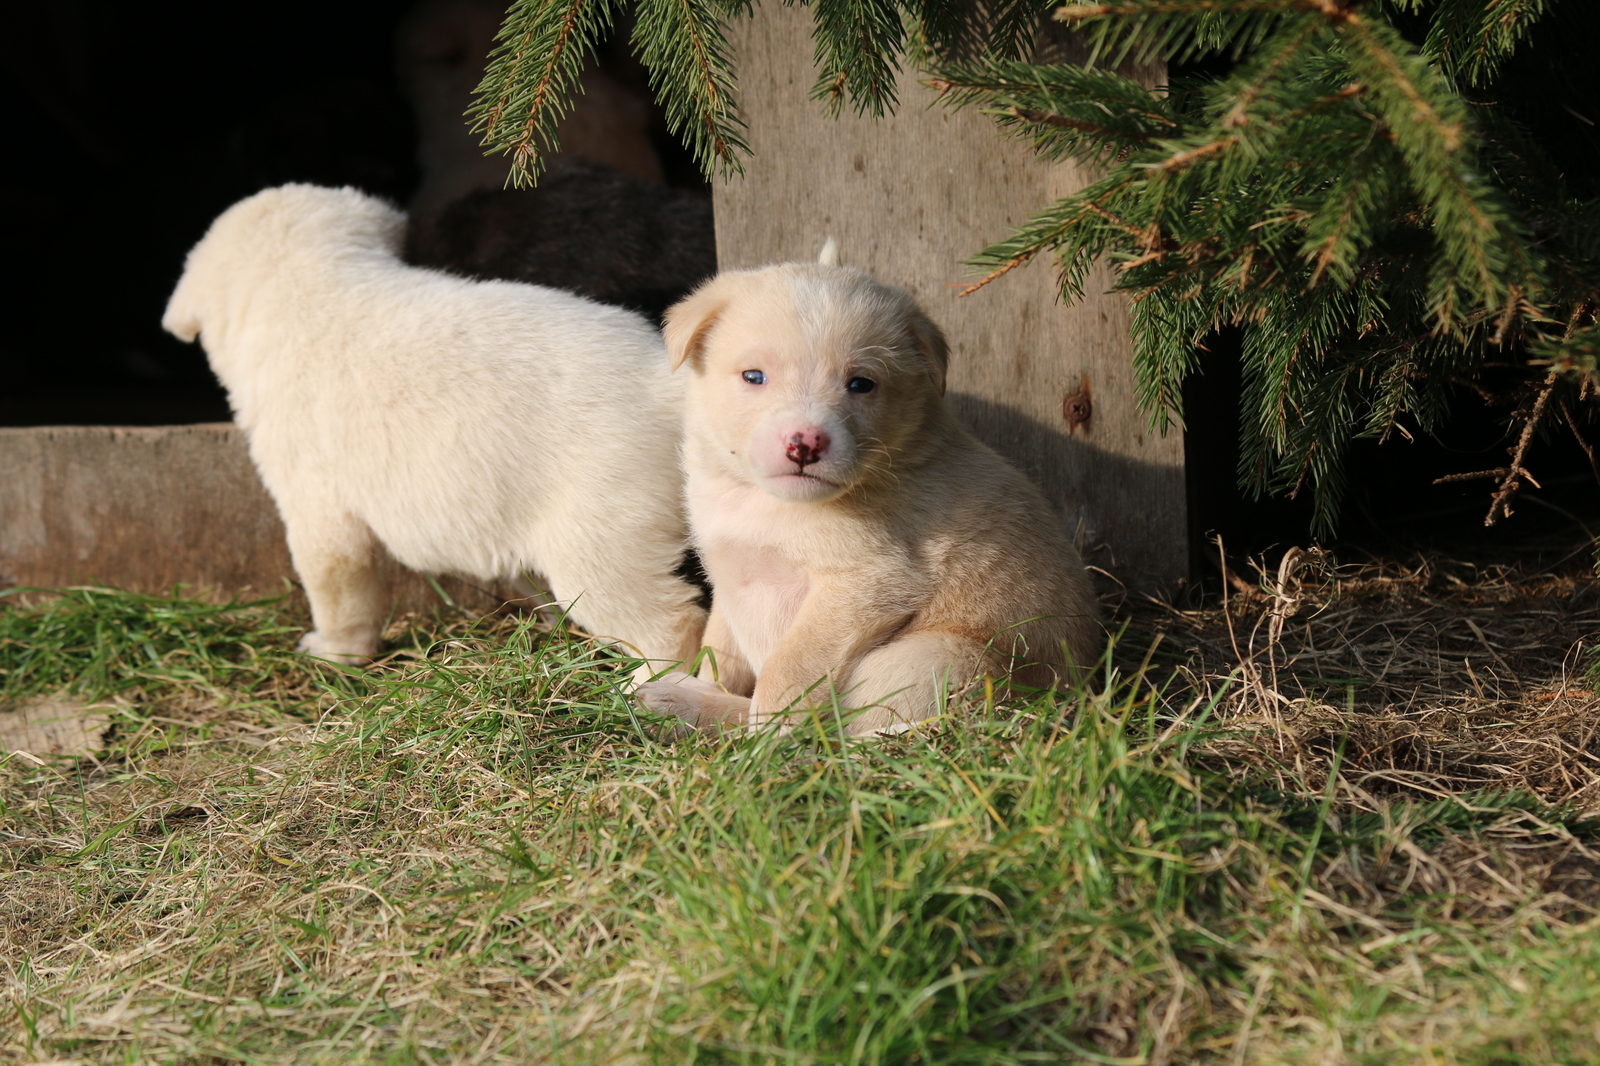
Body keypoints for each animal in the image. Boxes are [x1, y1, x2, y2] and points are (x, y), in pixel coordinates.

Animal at [164, 182, 707, 665]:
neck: (306, 281)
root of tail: (664, 383)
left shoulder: (313, 488)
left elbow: (335, 573)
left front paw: (332, 650)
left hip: (599, 517)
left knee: (660, 617)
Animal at [636, 260, 1100, 736]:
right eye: (753, 376)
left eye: (861, 384)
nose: (805, 445)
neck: (764, 502)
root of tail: (1078, 695)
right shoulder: (731, 580)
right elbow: (721, 655)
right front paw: (706, 690)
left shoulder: (865, 582)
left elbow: (785, 673)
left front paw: (767, 741)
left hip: (930, 660)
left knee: (841, 731)